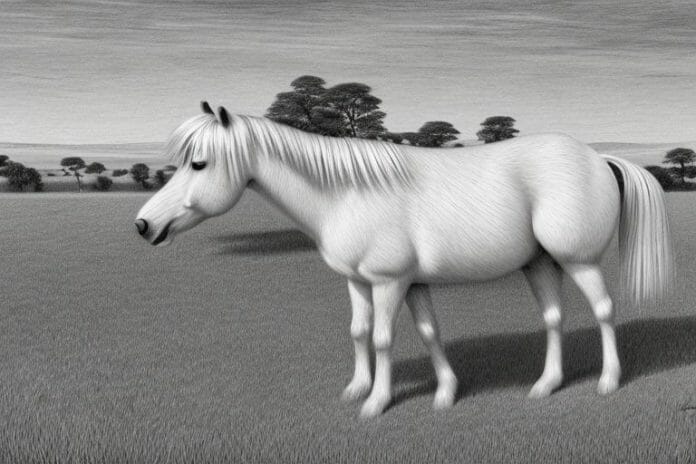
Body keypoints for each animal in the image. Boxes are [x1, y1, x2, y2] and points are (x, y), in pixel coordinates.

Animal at [135, 102, 673, 418]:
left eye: (199, 163)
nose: (143, 225)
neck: (349, 194)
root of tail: (597, 157)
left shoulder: (389, 282)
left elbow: (383, 338)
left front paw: (377, 402)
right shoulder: (375, 283)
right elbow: (386, 332)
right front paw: (431, 392)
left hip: (579, 260)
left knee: (603, 311)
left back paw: (607, 382)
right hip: (540, 264)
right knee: (554, 318)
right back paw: (545, 385)